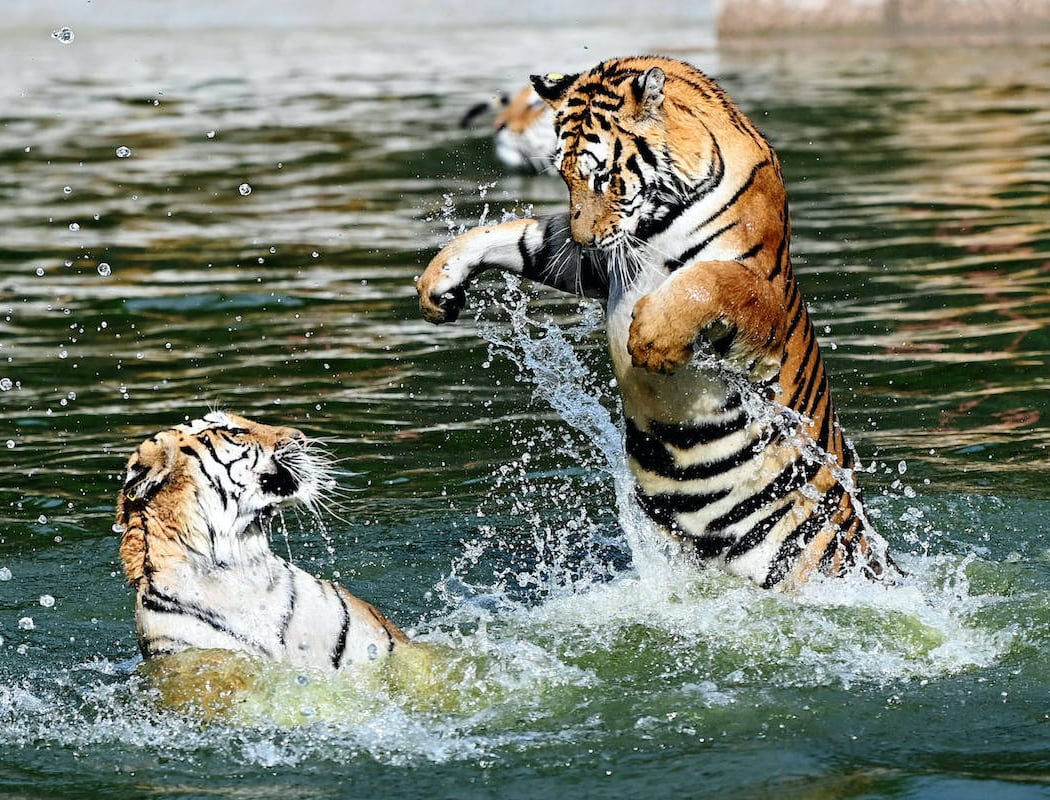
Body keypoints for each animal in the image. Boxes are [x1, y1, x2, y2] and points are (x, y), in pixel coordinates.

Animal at [418, 56, 896, 590]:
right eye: (564, 177)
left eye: (604, 177)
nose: (584, 238)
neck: (656, 219)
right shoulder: (597, 263)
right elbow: (515, 235)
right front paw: (438, 282)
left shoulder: (757, 291)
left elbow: (709, 280)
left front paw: (651, 339)